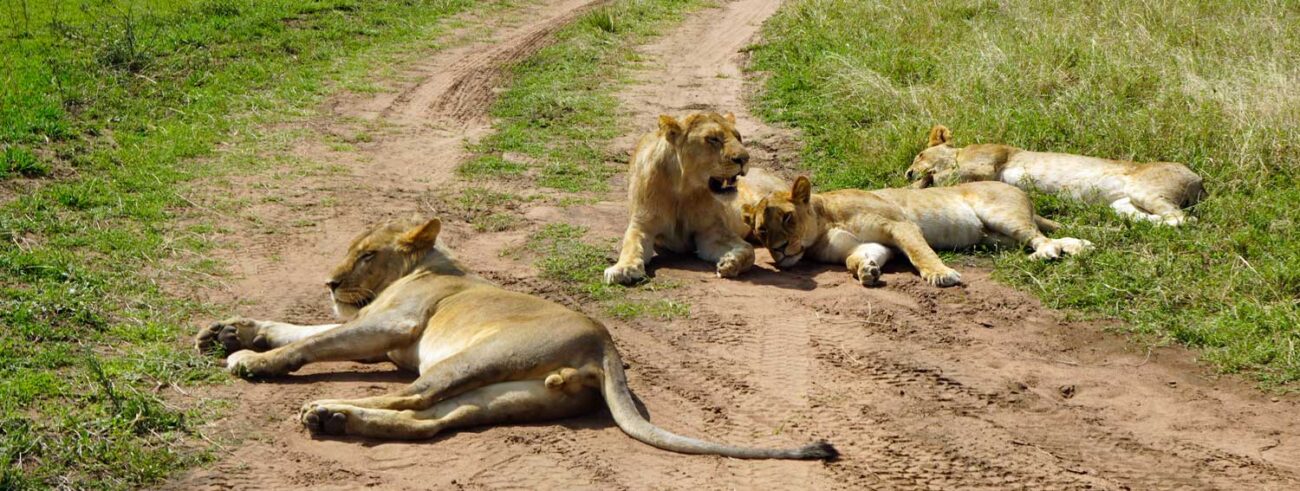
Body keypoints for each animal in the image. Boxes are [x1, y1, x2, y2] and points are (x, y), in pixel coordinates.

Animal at [195, 216, 836, 460]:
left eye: (367, 255)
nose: (329, 281)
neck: (428, 266)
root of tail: (605, 347)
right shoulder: (375, 330)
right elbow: (309, 327)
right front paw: (229, 331)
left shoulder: (392, 326)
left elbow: (311, 342)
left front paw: (250, 359)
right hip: (501, 393)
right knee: (431, 421)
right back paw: (338, 421)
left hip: (472, 358)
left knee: (411, 397)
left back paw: (324, 409)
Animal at [604, 112, 786, 285]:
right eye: (713, 139)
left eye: (738, 136)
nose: (744, 158)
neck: (683, 191)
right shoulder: (642, 225)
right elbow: (630, 245)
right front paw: (623, 269)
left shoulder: (711, 231)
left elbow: (749, 251)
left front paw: (730, 263)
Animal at [742, 177, 1092, 287]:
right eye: (762, 231)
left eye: (788, 217)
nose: (779, 250)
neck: (824, 223)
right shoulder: (867, 244)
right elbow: (857, 258)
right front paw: (867, 271)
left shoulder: (899, 224)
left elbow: (920, 252)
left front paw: (941, 275)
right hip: (994, 237)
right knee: (1044, 237)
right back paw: (1078, 247)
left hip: (1001, 215)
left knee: (1038, 237)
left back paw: (1046, 253)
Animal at [906, 125, 1206, 226]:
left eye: (919, 154)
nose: (908, 172)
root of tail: (1199, 180)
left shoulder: (989, 162)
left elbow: (950, 175)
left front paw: (925, 180)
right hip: (1124, 204)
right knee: (1158, 218)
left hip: (1144, 190)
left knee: (1184, 219)